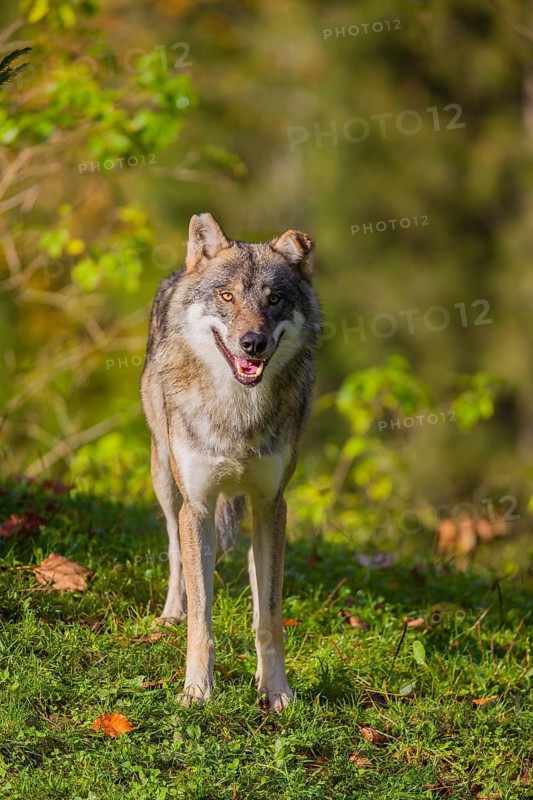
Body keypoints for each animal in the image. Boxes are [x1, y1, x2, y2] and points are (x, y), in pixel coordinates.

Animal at [141, 213, 320, 712]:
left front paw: (276, 691)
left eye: (274, 299)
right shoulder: (198, 506)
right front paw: (197, 690)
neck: (237, 412)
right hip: (167, 484)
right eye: (227, 297)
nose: (252, 343)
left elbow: (270, 619)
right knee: (174, 553)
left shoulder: (273, 504)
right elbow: (202, 619)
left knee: (258, 582)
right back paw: (170, 614)